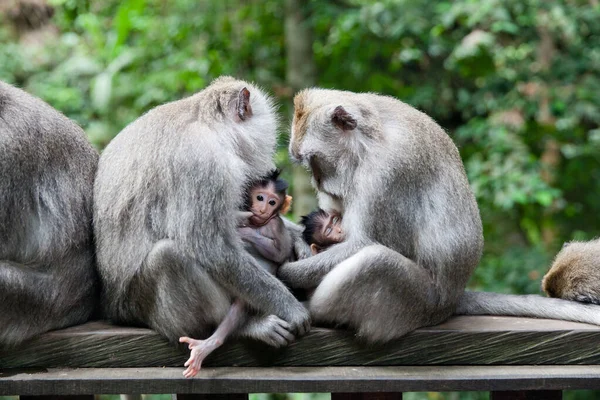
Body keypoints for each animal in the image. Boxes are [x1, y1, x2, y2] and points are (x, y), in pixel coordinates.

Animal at [95, 76, 310, 354]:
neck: (208, 125)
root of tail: (113, 309)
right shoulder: (203, 163)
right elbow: (212, 248)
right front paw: (290, 307)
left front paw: (298, 237)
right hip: (135, 305)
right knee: (168, 256)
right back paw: (239, 328)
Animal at [180, 169, 296, 378]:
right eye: (260, 197)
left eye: (272, 202)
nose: (263, 208)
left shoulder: (275, 224)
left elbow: (280, 252)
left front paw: (245, 231)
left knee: (244, 301)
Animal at [280, 88, 600, 344]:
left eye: (313, 160)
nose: (317, 181)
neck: (369, 139)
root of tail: (452, 297)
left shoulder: (389, 171)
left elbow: (366, 243)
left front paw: (287, 273)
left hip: (421, 301)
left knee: (375, 261)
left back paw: (312, 310)